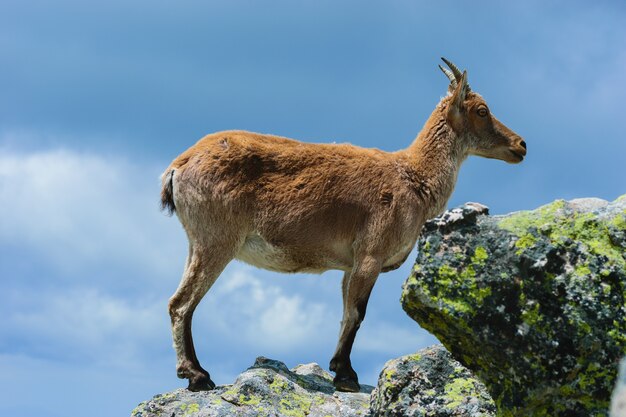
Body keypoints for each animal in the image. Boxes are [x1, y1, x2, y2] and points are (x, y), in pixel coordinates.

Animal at [160, 57, 520, 390]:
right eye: (482, 110)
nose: (521, 145)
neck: (414, 177)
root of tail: (178, 166)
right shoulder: (370, 255)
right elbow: (358, 313)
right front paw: (346, 375)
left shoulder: (350, 264)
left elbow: (346, 312)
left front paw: (337, 368)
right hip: (217, 240)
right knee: (181, 303)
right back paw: (198, 376)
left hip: (197, 242)